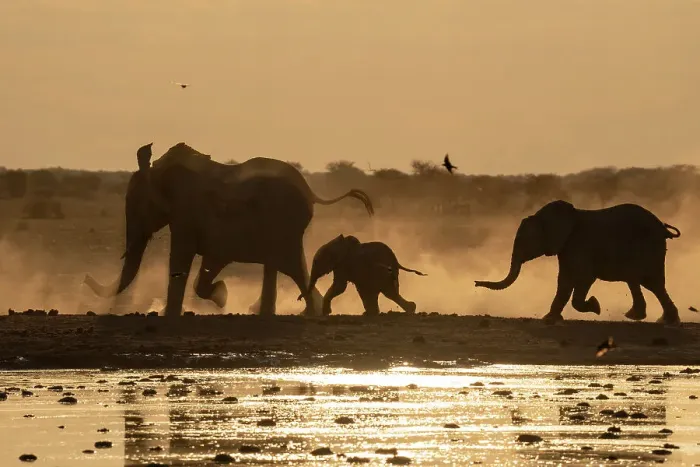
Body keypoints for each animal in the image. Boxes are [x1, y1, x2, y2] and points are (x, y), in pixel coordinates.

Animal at [84, 142, 374, 318]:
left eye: (136, 205)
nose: (85, 278)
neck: (159, 171)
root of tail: (312, 192)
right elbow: (210, 260)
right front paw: (221, 296)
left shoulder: (187, 212)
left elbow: (183, 257)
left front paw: (214, 298)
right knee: (288, 266)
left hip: (284, 223)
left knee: (289, 265)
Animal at [474, 200, 682, 325]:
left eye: (525, 241)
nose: (475, 283)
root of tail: (663, 227)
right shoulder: (566, 247)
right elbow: (564, 281)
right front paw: (549, 319)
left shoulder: (579, 245)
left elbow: (583, 278)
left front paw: (595, 307)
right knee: (651, 283)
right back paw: (664, 320)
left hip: (646, 246)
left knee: (640, 279)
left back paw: (635, 316)